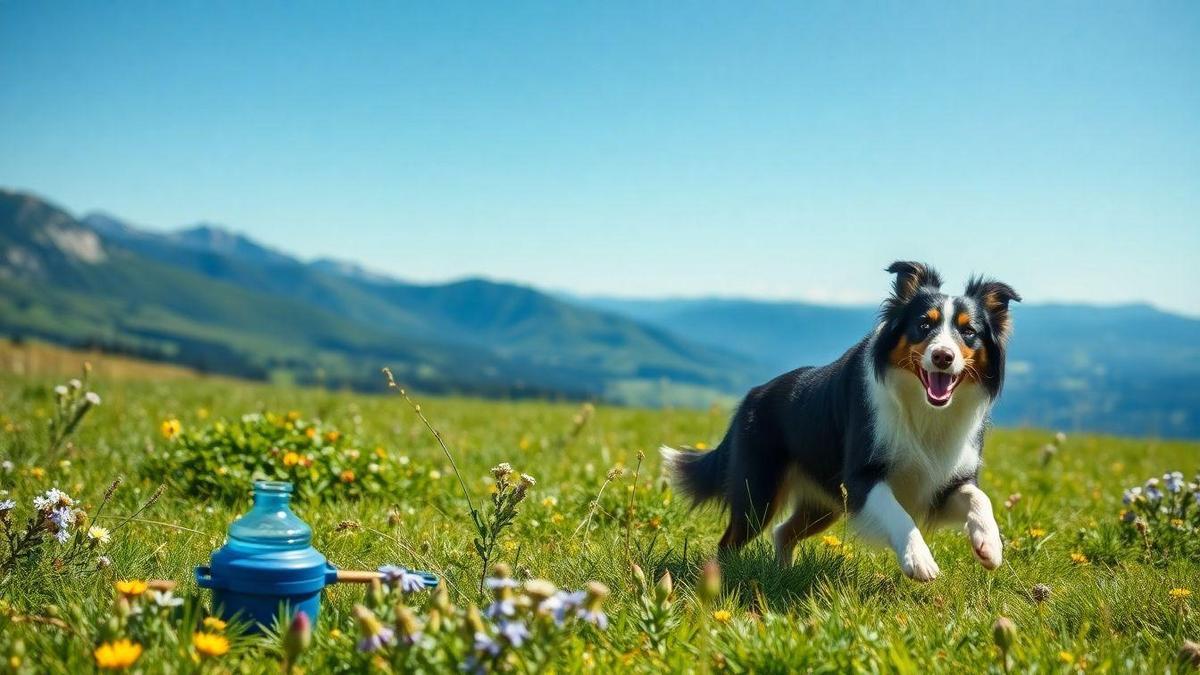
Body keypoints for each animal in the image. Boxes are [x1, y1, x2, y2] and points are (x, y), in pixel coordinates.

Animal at [662, 261, 1017, 578]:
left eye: (968, 331)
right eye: (924, 325)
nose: (943, 356)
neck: (924, 408)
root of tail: (750, 398)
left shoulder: (944, 481)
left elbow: (979, 497)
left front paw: (990, 544)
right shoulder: (861, 476)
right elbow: (898, 513)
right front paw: (919, 560)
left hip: (823, 504)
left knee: (782, 531)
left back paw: (782, 574)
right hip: (758, 493)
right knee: (730, 541)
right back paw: (723, 577)